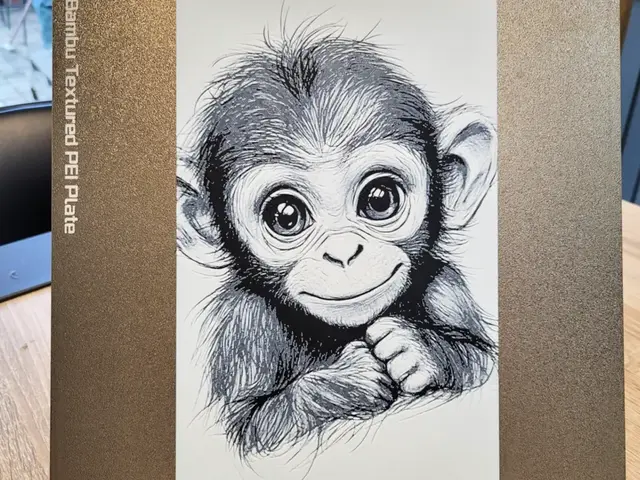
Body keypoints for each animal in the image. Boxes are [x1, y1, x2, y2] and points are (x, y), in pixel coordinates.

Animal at [177, 24, 497, 460]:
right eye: (286, 216)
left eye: (379, 198)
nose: (343, 252)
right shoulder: (244, 326)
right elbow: (254, 427)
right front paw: (349, 379)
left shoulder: (446, 285)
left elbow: (483, 360)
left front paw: (419, 350)